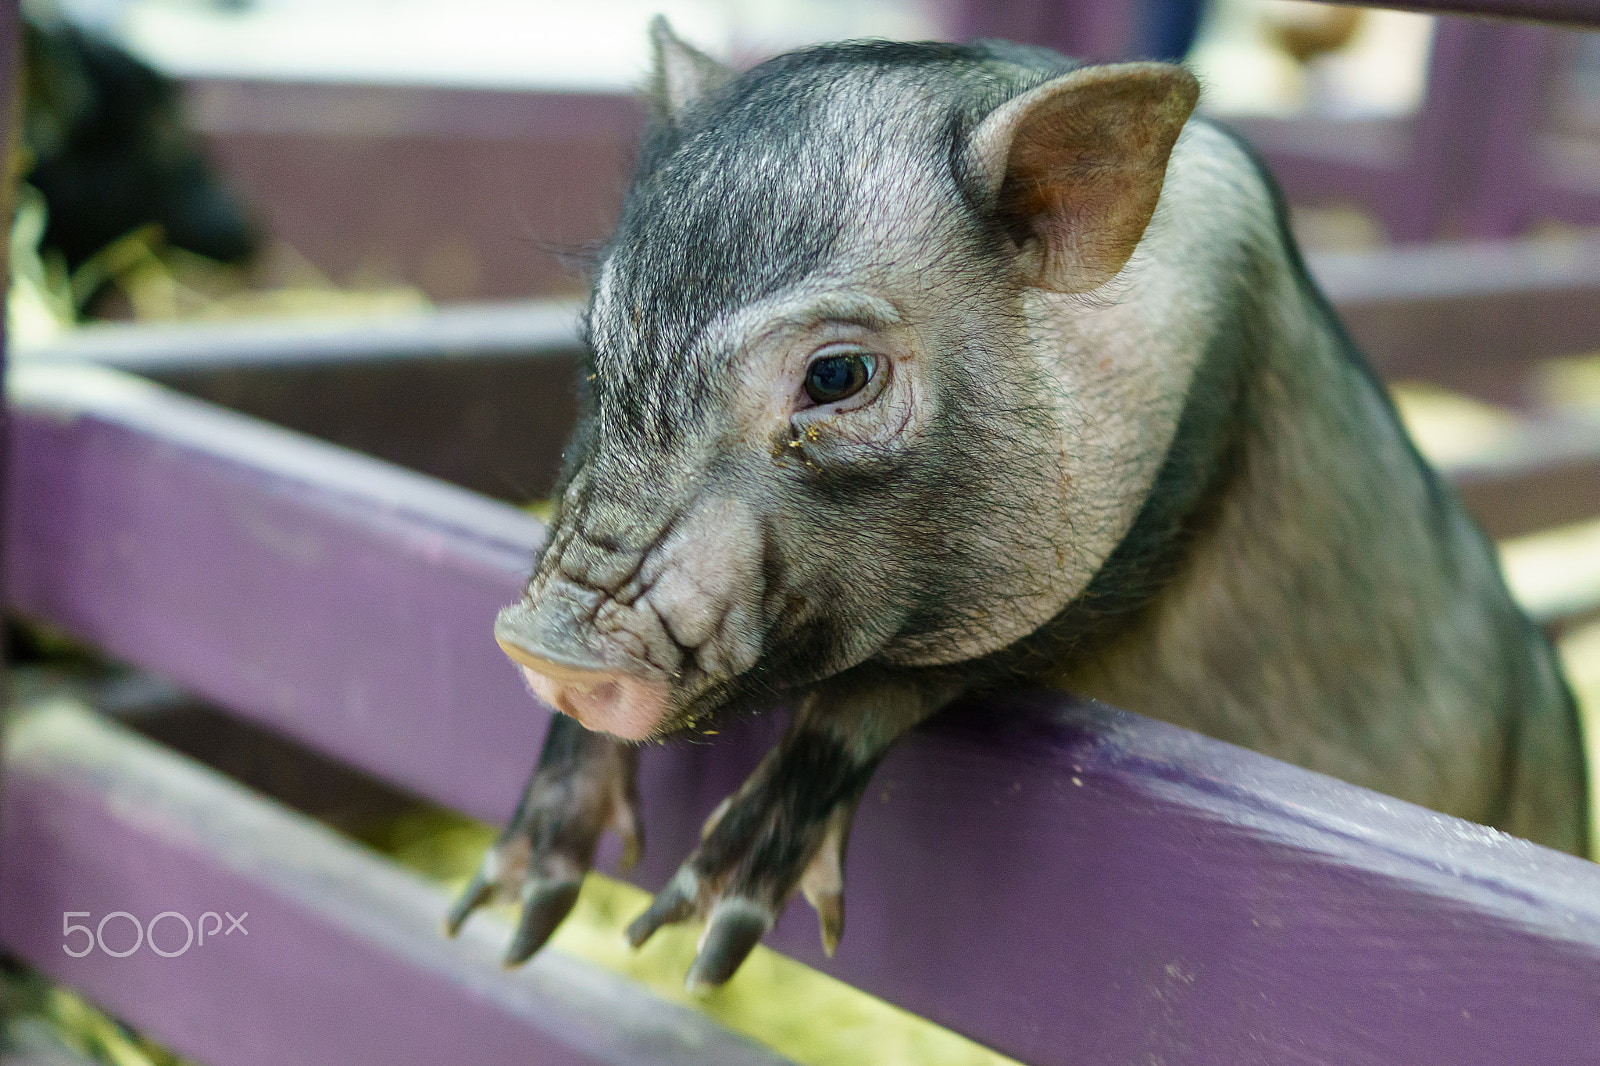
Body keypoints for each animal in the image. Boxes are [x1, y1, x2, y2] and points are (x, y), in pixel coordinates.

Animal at [448, 16, 1587, 985]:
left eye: (837, 376)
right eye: (595, 344)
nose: (542, 644)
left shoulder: (1146, 520)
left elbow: (892, 684)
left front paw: (700, 938)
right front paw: (504, 916)